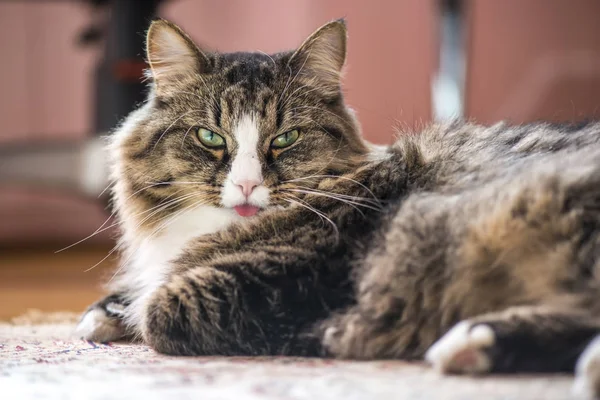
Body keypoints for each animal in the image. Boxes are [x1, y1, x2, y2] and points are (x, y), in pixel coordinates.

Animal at [76, 17, 600, 398]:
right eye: (210, 137)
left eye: (285, 138)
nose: (246, 184)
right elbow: (113, 305)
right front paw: (103, 314)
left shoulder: (298, 275)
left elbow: (158, 310)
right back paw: (476, 343)